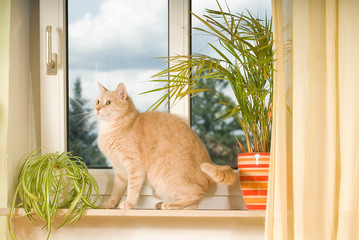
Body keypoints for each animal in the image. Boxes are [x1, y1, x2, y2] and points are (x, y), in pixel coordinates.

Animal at [95, 82, 236, 210]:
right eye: (97, 101)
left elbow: (132, 188)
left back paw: (169, 205)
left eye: (108, 102)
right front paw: (110, 205)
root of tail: (208, 160)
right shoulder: (120, 172)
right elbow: (116, 192)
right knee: (193, 205)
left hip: (163, 178)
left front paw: (129, 203)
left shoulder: (135, 167)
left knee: (197, 194)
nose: (97, 109)